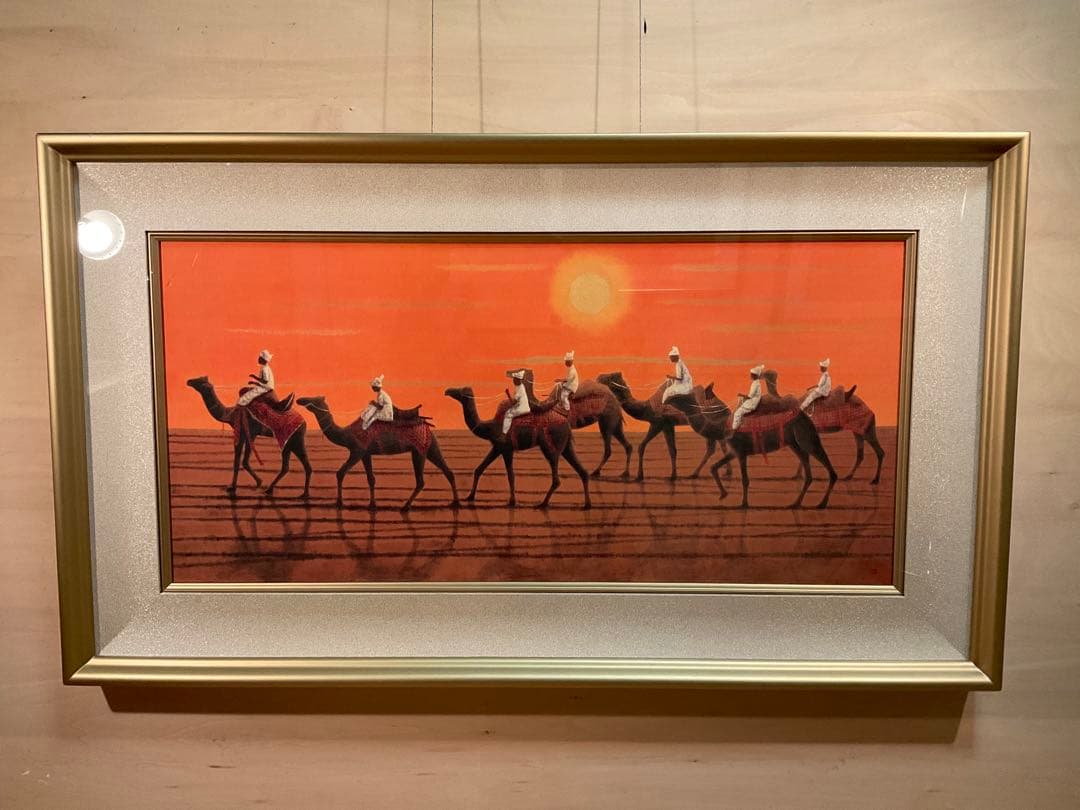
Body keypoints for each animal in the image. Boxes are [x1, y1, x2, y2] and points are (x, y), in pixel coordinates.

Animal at [297, 396, 459, 511]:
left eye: (313, 399)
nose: (300, 400)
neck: (347, 434)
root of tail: (427, 426)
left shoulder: (358, 450)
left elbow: (340, 473)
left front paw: (339, 502)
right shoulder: (366, 454)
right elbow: (371, 479)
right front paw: (372, 504)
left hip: (419, 450)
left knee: (421, 481)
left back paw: (405, 507)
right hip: (430, 446)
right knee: (448, 471)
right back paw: (455, 502)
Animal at [444, 387, 591, 509]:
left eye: (461, 391)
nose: (447, 391)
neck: (490, 426)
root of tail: (567, 424)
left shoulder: (507, 449)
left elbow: (511, 475)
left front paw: (512, 501)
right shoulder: (497, 447)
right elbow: (479, 469)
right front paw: (469, 497)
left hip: (551, 446)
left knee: (556, 477)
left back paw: (542, 504)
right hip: (566, 446)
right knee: (582, 471)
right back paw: (587, 505)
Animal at [595, 371, 730, 482]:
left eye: (609, 378)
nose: (598, 378)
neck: (646, 407)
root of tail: (724, 407)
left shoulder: (658, 423)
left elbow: (642, 446)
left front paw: (639, 476)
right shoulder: (667, 425)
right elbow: (672, 450)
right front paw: (673, 475)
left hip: (710, 420)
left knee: (713, 446)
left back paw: (697, 474)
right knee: (720, 443)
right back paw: (724, 473)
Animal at [665, 392, 838, 509]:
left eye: (680, 397)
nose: (666, 400)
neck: (723, 426)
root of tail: (806, 417)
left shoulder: (741, 452)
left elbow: (745, 479)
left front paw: (744, 504)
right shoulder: (734, 451)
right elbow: (713, 468)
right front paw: (723, 494)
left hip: (806, 438)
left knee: (829, 469)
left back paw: (821, 504)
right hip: (794, 443)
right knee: (808, 472)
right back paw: (796, 503)